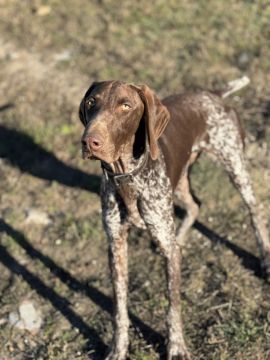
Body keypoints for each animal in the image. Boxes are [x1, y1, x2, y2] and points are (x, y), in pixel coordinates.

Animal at [78, 77, 270, 358]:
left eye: (125, 106)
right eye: (92, 102)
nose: (90, 141)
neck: (128, 177)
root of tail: (212, 93)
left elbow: (173, 306)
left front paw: (177, 346)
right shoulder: (116, 246)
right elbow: (119, 309)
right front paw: (119, 347)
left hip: (235, 165)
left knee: (254, 210)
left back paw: (265, 260)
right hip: (179, 180)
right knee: (194, 208)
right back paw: (179, 237)